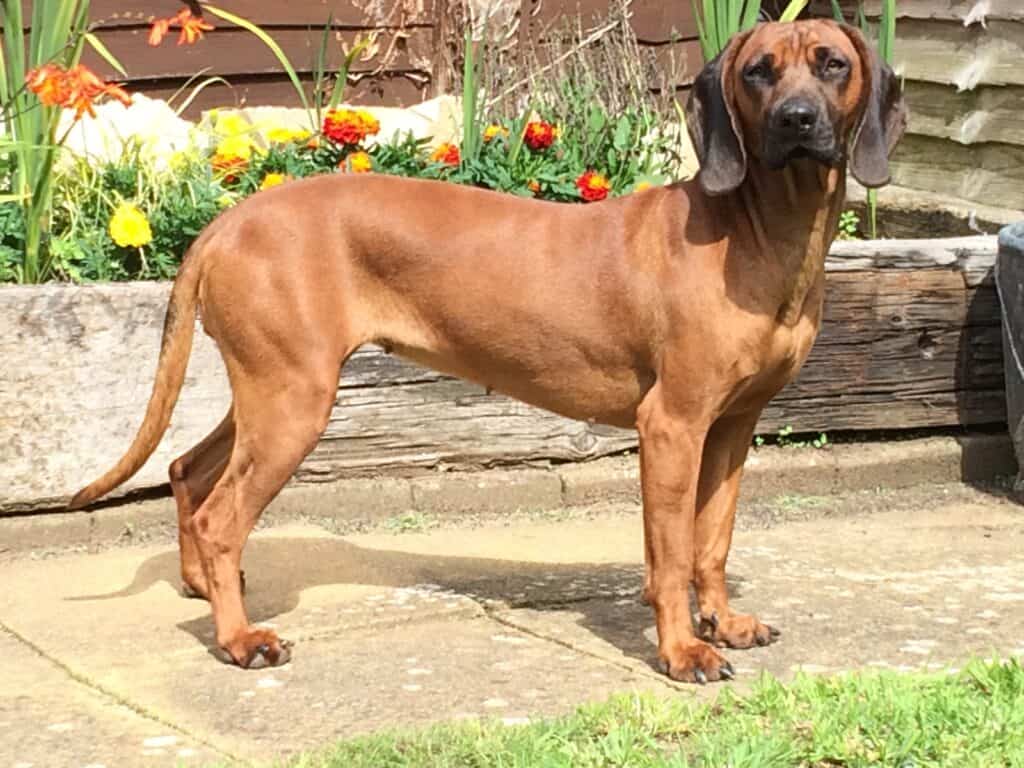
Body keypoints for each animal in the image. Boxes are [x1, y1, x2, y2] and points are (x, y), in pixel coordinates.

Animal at [72, 18, 905, 684]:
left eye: (832, 63)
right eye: (758, 70)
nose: (797, 120)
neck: (756, 229)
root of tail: (229, 221)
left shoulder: (733, 427)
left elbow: (713, 542)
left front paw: (723, 622)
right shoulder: (672, 424)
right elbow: (670, 556)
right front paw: (680, 651)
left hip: (271, 389)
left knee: (189, 471)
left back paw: (210, 592)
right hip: (293, 402)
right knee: (221, 513)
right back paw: (239, 638)